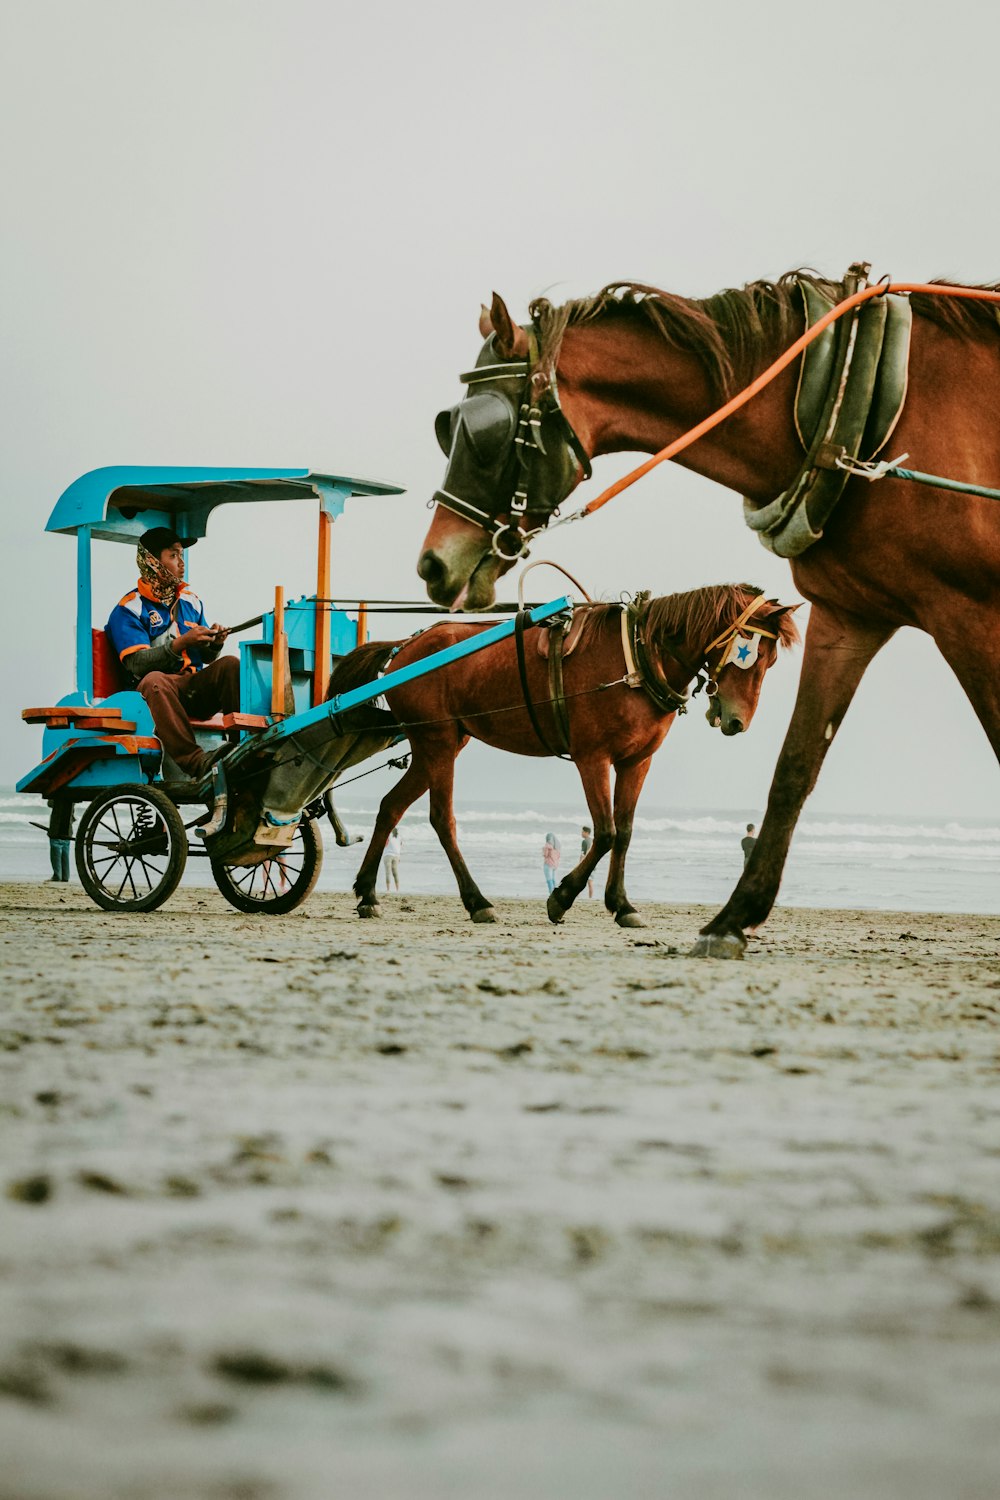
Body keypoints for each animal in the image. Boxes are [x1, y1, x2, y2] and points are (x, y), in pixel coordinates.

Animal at [332, 582, 803, 924]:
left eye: (769, 661)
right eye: (751, 652)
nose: (738, 721)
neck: (637, 655)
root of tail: (404, 648)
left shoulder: (636, 761)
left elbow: (625, 832)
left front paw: (622, 904)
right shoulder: (592, 758)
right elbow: (605, 831)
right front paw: (561, 897)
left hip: (438, 745)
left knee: (390, 806)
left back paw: (368, 893)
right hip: (439, 742)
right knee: (441, 820)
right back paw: (477, 900)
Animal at [419, 271, 1000, 954]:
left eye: (482, 428)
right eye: (450, 426)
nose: (431, 564)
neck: (846, 404)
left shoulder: (964, 611)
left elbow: (625, 827)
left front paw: (613, 903)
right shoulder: (850, 615)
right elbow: (790, 771)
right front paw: (729, 918)